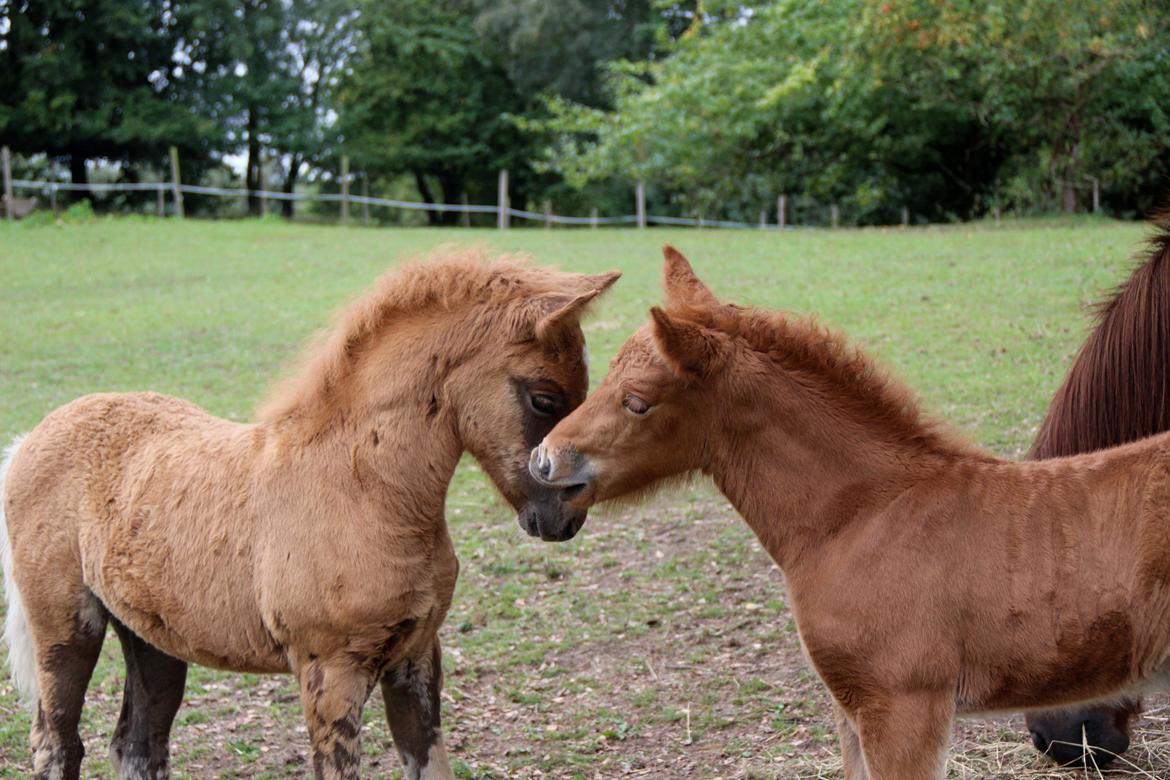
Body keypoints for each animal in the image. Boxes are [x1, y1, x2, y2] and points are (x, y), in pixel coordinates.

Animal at [0, 251, 617, 780]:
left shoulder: (416, 657)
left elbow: (430, 764)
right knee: (57, 741)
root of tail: (31, 436)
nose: (565, 517)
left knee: (138, 743)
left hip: (151, 634)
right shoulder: (331, 671)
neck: (363, 490)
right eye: (543, 399)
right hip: (64, 625)